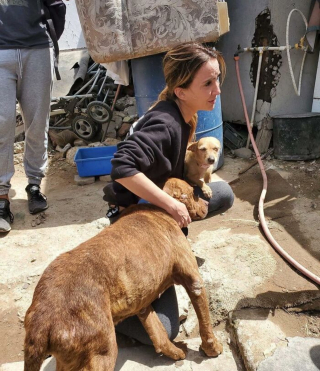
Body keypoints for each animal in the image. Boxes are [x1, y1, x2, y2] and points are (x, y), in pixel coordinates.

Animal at [24, 178, 222, 371]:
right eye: (193, 193)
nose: (207, 201)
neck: (160, 207)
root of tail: (42, 320)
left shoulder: (142, 304)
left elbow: (159, 334)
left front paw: (174, 352)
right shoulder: (194, 281)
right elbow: (205, 321)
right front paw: (212, 348)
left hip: (70, 359)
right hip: (102, 353)